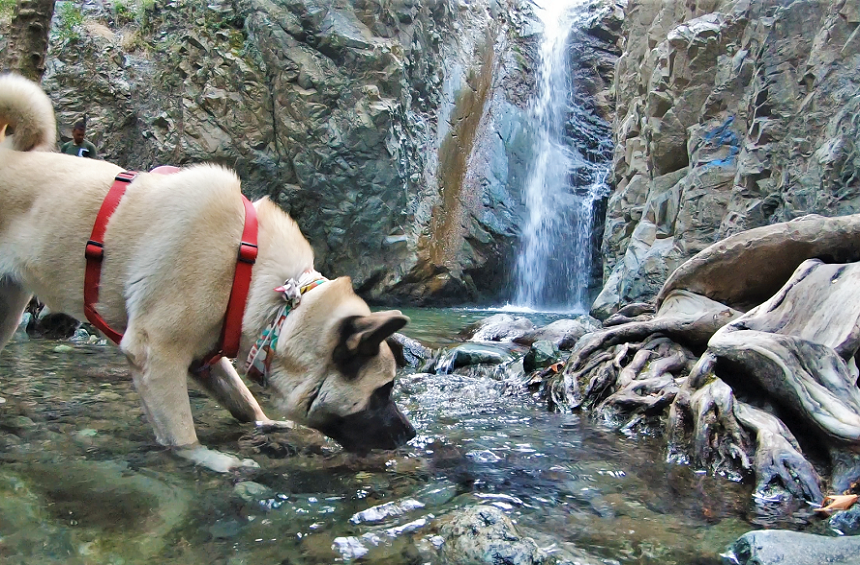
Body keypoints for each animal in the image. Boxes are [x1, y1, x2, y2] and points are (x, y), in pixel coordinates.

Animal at [0, 75, 416, 472]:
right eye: (383, 391)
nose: (410, 435)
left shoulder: (208, 361)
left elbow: (244, 402)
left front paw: (268, 425)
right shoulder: (158, 355)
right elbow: (182, 433)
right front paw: (211, 460)